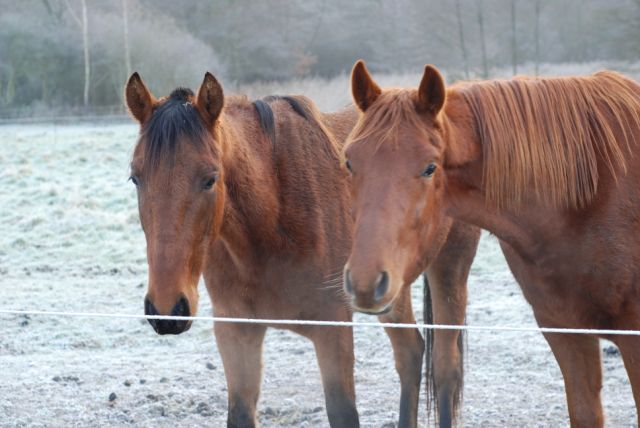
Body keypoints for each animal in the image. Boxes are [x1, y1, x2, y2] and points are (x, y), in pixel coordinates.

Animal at [124, 72, 476, 426]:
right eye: (135, 178)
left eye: (210, 179)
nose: (167, 310)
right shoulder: (236, 331)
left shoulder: (332, 330)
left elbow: (343, 412)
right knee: (410, 352)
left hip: (449, 271)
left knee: (445, 368)